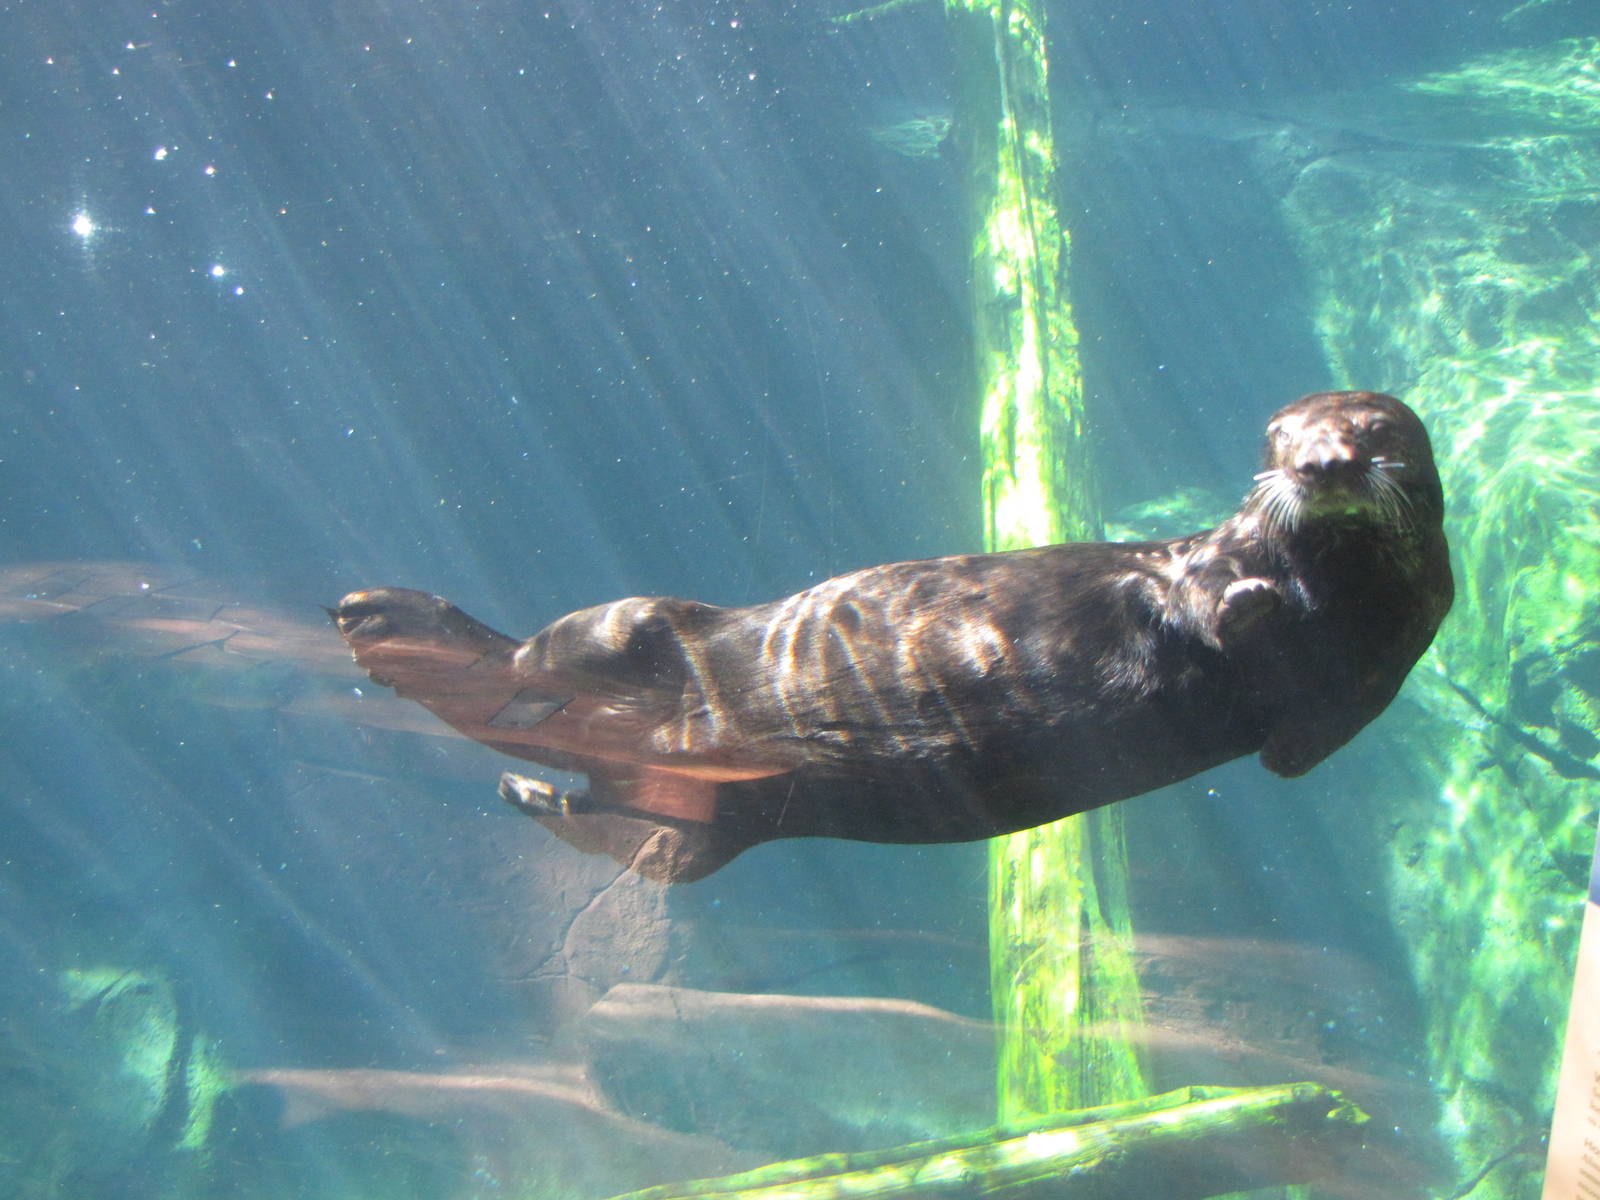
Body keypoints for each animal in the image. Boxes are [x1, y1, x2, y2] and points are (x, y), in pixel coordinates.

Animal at [332, 391, 1451, 883]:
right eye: (1282, 438)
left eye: (1369, 435)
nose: (1319, 466)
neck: (1334, 592)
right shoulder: (1195, 565)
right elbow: (1195, 599)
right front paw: (1245, 606)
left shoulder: (1401, 639)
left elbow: (1311, 740)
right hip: (644, 625)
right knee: (539, 656)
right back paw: (395, 633)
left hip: (732, 817)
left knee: (649, 843)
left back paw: (526, 782)